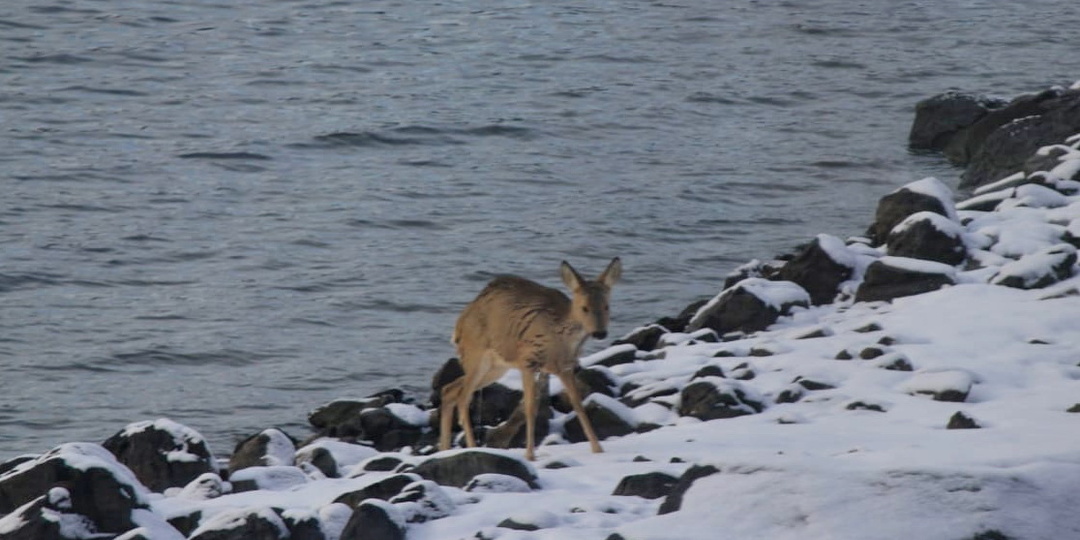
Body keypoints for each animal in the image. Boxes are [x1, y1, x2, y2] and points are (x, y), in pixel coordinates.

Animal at [438, 257, 626, 460]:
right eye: (584, 308)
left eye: (607, 306)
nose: (600, 333)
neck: (559, 338)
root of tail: (459, 324)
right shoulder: (527, 360)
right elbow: (529, 407)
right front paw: (530, 455)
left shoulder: (566, 367)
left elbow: (578, 405)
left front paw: (598, 450)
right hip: (477, 355)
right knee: (463, 396)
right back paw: (472, 448)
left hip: (496, 367)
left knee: (450, 389)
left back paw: (445, 449)